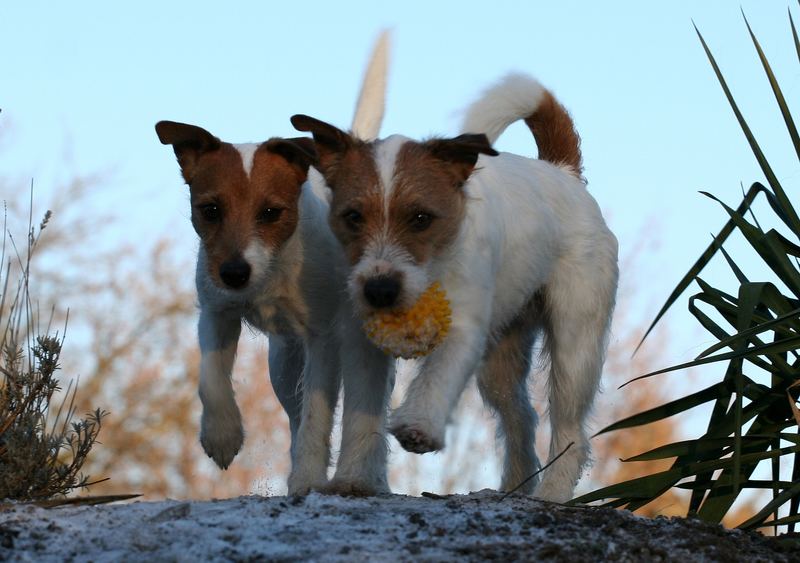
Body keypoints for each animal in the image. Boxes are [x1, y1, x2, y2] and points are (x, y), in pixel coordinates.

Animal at [154, 33, 396, 496]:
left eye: (271, 213)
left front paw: (309, 477)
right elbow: (210, 378)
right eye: (210, 209)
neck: (273, 271)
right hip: (283, 365)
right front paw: (222, 434)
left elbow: (319, 416)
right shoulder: (215, 311)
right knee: (294, 412)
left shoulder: (323, 339)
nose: (234, 273)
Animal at [294, 74, 620, 502]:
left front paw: (418, 425)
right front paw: (353, 478)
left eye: (421, 218)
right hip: (502, 358)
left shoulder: (463, 327)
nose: (380, 290)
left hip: (575, 344)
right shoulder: (360, 340)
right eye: (353, 216)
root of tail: (561, 171)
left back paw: (551, 492)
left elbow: (438, 374)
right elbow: (361, 412)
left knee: (570, 430)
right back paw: (514, 486)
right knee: (521, 417)